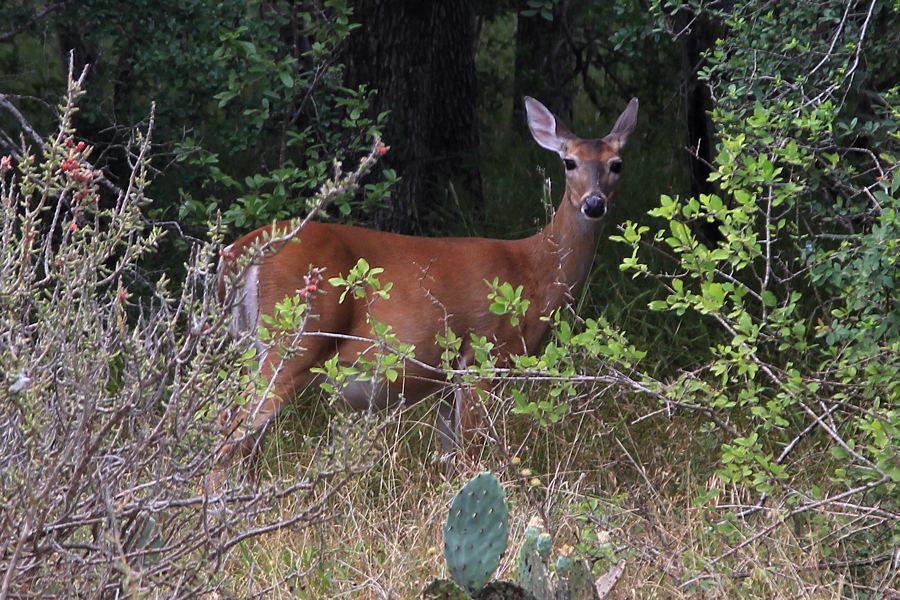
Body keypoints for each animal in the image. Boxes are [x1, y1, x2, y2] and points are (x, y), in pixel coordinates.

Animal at [216, 96, 640, 474]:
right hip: (294, 339)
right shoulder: (486, 355)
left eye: (616, 164)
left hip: (249, 346)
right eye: (569, 162)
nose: (594, 204)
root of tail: (238, 251)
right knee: (230, 432)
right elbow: (470, 458)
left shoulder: (449, 377)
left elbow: (450, 458)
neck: (533, 270)